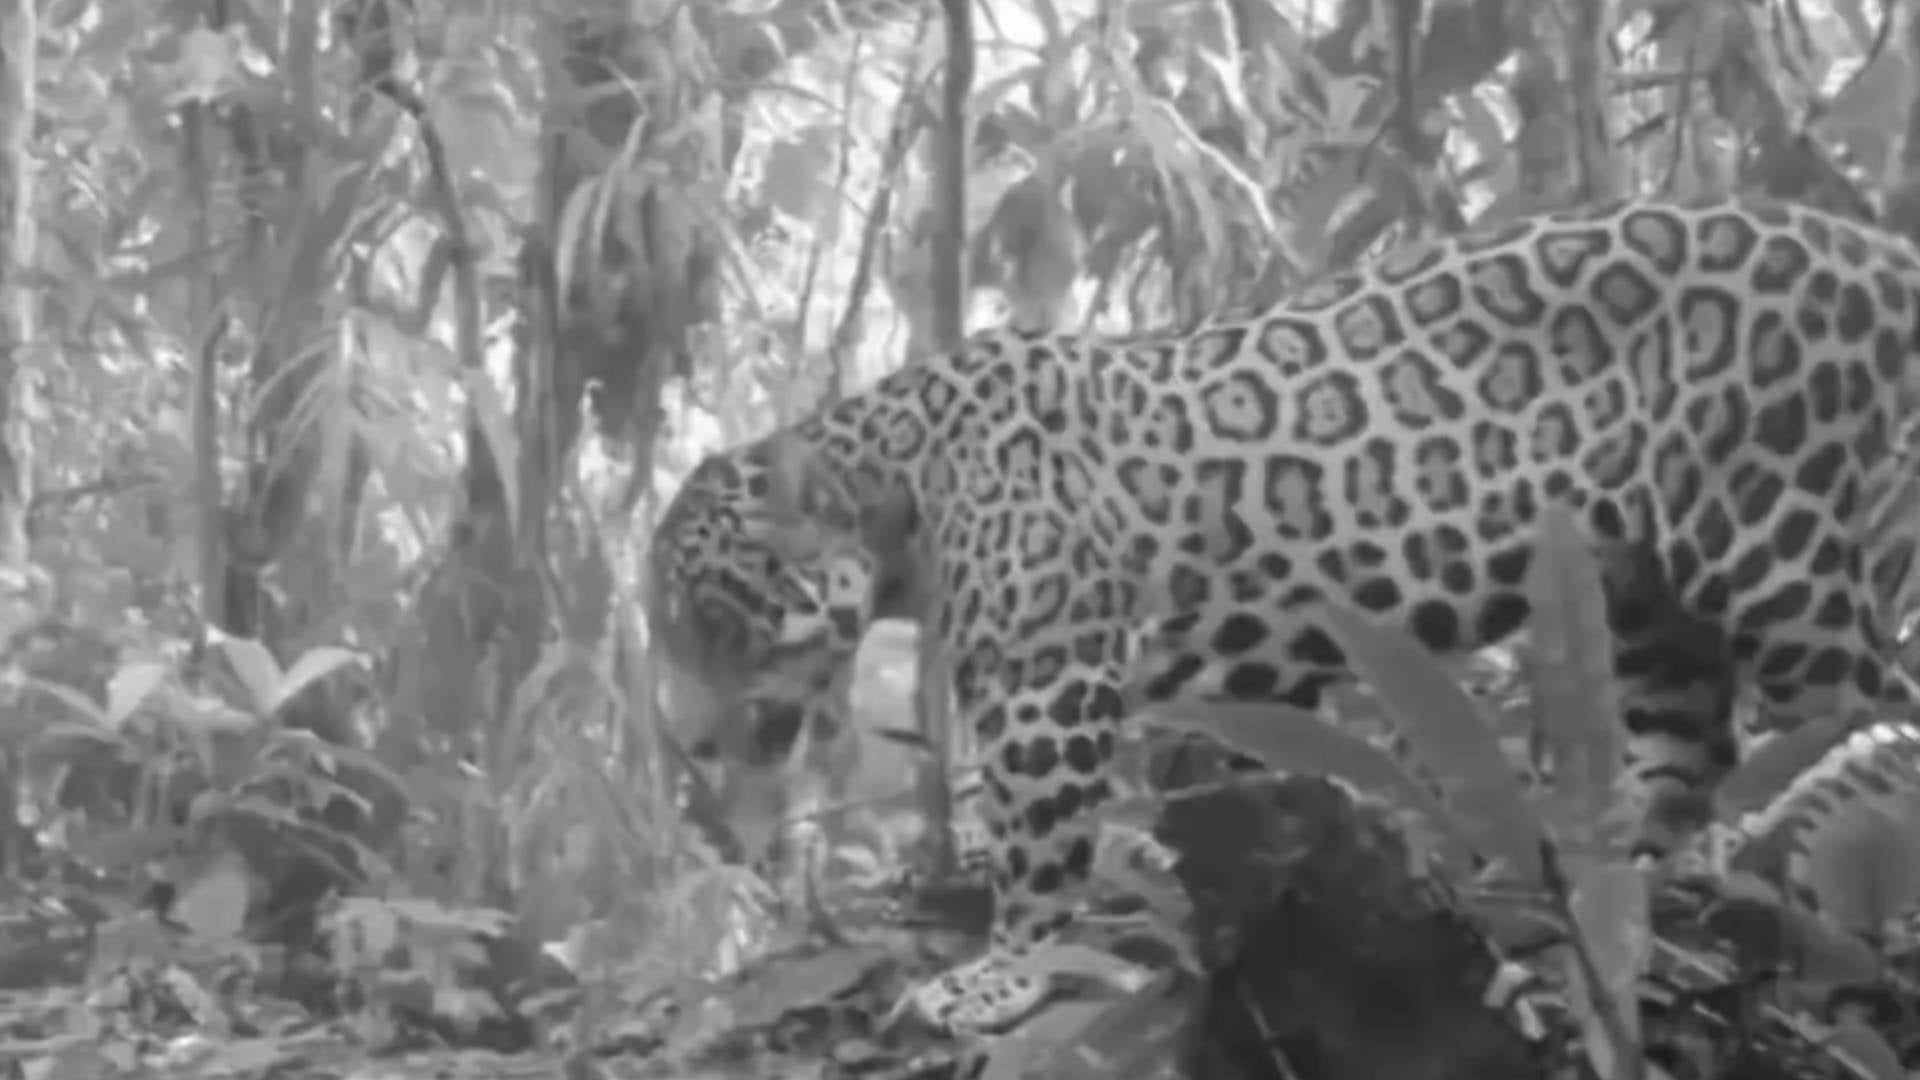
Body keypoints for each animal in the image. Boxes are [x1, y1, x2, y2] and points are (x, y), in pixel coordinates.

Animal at [645, 194, 1920, 1033]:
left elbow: (1041, 845)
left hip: (1777, 542)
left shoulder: (1050, 685)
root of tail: (1868, 245)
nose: (691, 743)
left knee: (1865, 711)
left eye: (712, 618)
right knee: (1690, 752)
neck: (900, 476)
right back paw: (1591, 873)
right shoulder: (1243, 662)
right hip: (1640, 582)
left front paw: (1007, 970)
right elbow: (1217, 783)